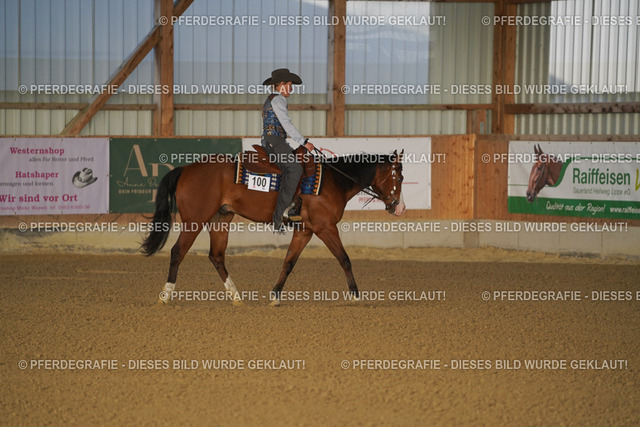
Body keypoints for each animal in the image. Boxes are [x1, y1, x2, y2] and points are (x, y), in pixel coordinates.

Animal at [141, 148, 406, 306]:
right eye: (400, 177)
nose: (399, 207)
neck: (334, 181)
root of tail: (186, 168)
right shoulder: (325, 228)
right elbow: (345, 259)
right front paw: (356, 295)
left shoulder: (305, 230)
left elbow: (289, 262)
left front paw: (275, 295)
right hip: (194, 221)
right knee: (177, 252)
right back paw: (166, 295)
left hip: (220, 219)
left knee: (216, 256)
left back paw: (236, 297)